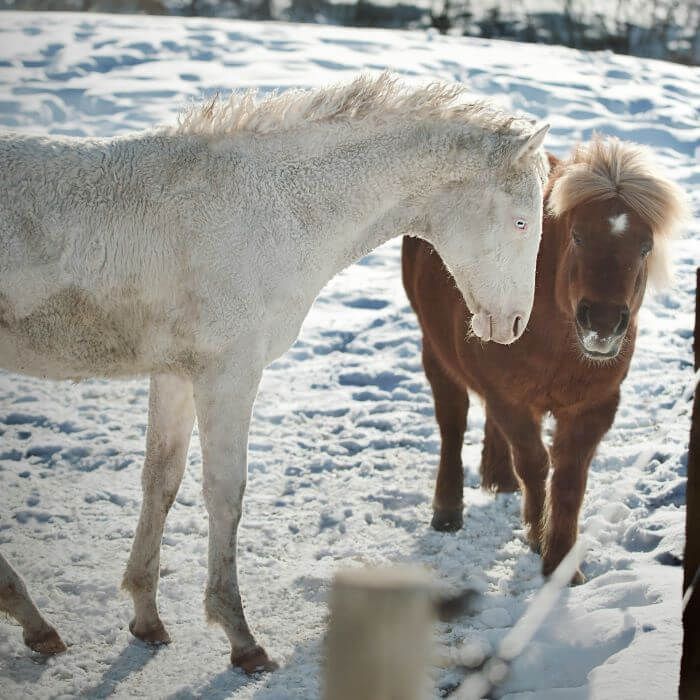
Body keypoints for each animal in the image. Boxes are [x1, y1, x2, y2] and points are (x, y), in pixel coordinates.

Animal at [0, 74, 548, 668]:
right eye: (521, 222)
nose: (514, 325)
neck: (268, 210)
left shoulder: (175, 374)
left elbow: (160, 482)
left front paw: (146, 616)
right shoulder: (228, 374)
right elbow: (225, 494)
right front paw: (239, 637)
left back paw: (36, 624)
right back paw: (33, 620)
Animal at [404, 135, 688, 580]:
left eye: (645, 247)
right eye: (577, 237)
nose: (602, 323)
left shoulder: (595, 405)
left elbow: (570, 477)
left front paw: (561, 562)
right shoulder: (512, 400)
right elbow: (535, 464)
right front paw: (538, 538)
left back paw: (499, 477)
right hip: (435, 350)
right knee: (453, 422)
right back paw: (448, 509)